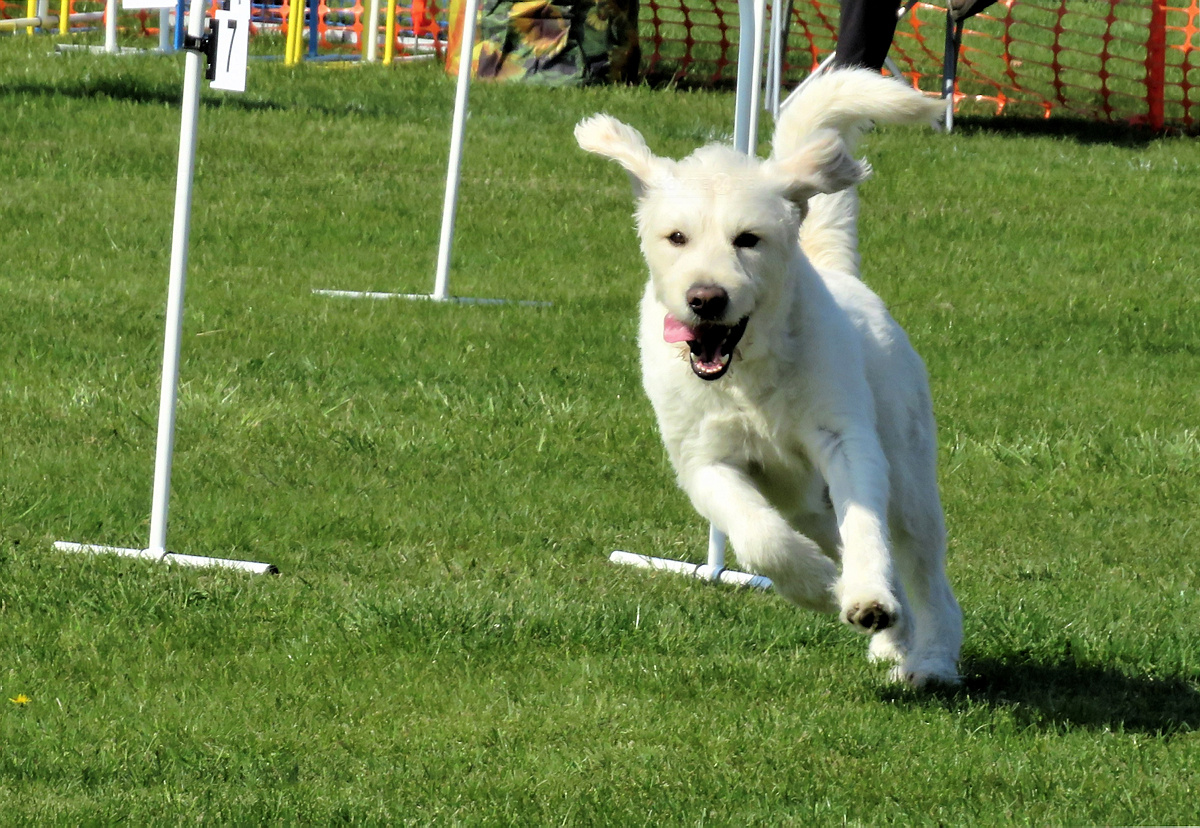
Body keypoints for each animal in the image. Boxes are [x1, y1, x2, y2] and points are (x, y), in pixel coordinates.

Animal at [576, 69, 960, 681]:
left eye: (748, 239)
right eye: (677, 238)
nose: (706, 299)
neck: (745, 377)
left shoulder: (847, 442)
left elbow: (865, 527)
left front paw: (863, 596)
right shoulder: (704, 462)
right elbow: (760, 539)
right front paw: (821, 585)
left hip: (908, 479)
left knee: (927, 575)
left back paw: (932, 658)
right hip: (806, 503)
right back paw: (890, 637)